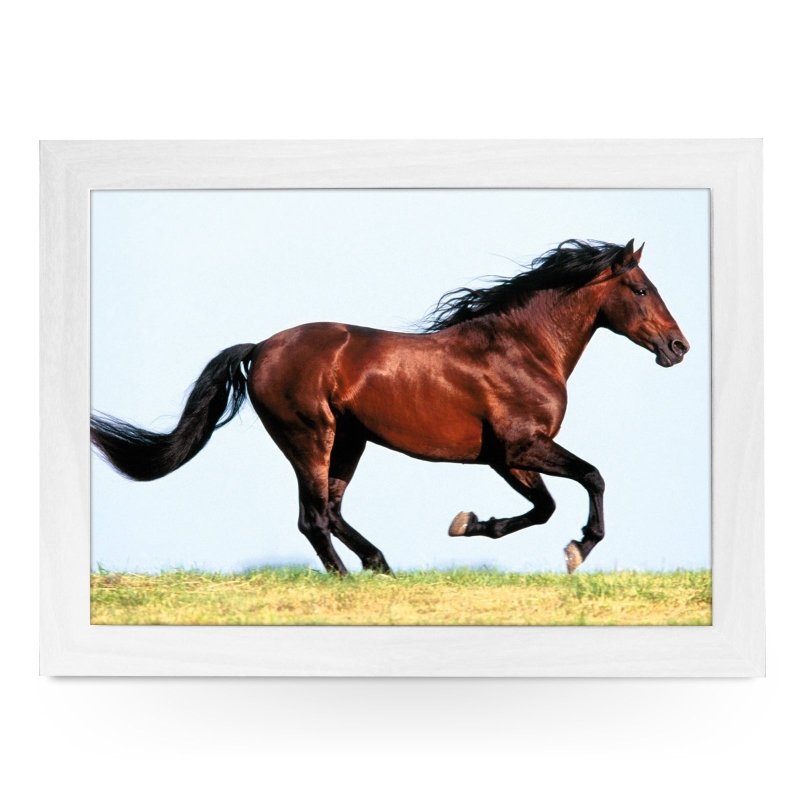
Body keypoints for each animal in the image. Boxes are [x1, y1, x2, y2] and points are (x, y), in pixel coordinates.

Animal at [91, 238, 689, 575]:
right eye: (640, 289)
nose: (678, 347)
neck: (521, 349)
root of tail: (260, 348)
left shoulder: (505, 458)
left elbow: (544, 507)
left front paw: (469, 524)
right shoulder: (522, 446)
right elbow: (591, 478)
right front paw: (578, 549)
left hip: (349, 442)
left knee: (331, 511)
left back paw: (379, 566)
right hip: (310, 437)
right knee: (313, 517)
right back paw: (350, 579)